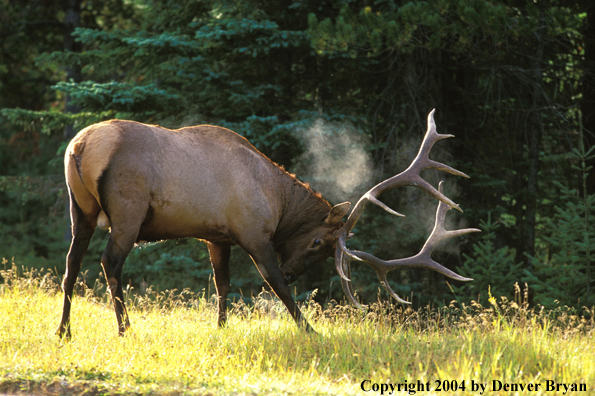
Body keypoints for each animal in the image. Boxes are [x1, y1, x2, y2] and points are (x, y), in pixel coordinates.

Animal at [58, 109, 480, 338]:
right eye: (317, 243)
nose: (296, 272)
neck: (276, 199)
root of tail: (80, 147)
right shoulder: (251, 231)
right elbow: (274, 284)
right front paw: (310, 329)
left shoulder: (217, 237)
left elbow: (222, 284)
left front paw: (221, 327)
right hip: (127, 211)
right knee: (109, 263)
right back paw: (125, 328)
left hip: (80, 209)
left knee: (71, 264)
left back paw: (64, 330)